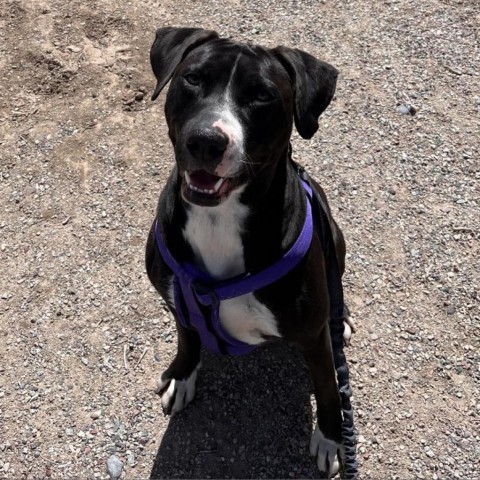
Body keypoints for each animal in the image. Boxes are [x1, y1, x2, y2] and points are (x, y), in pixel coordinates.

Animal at [144, 28, 354, 478]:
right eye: (192, 78)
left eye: (262, 95)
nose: (206, 141)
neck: (218, 218)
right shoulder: (178, 301)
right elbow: (187, 340)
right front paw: (182, 375)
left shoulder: (313, 338)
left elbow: (329, 387)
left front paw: (331, 438)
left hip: (336, 239)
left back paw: (341, 317)